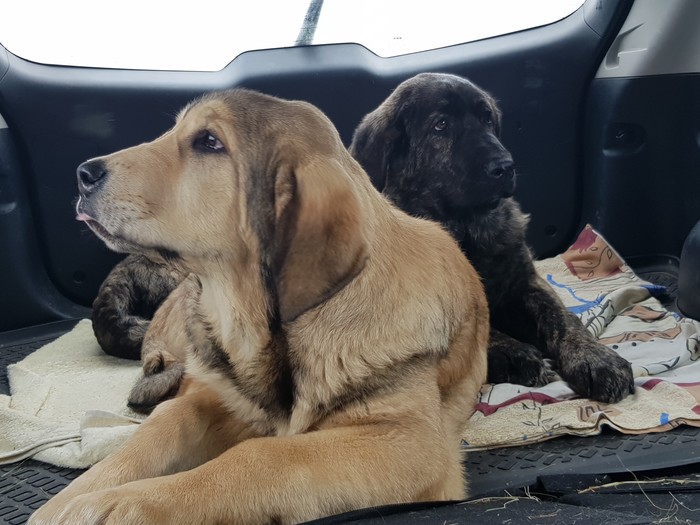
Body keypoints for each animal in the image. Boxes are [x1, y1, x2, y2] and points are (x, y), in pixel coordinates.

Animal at [31, 90, 486, 524]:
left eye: (209, 141)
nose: (83, 174)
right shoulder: (217, 398)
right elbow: (164, 426)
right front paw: (74, 499)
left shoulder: (410, 443)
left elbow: (263, 454)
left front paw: (126, 504)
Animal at [348, 72, 636, 402]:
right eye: (441, 125)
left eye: (487, 119)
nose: (505, 167)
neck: (468, 229)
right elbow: (479, 327)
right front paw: (514, 353)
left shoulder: (526, 283)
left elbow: (562, 319)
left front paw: (595, 357)